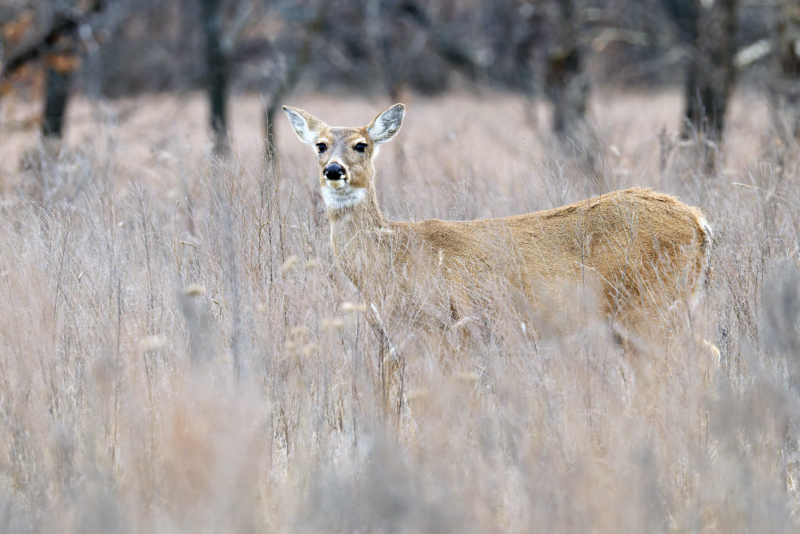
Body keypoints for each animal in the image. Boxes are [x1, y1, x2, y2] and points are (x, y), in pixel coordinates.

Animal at [284, 104, 716, 362]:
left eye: (361, 144)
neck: (393, 254)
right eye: (320, 145)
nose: (334, 170)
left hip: (652, 305)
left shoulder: (445, 326)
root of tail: (699, 221)